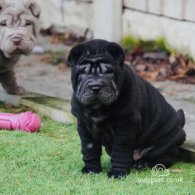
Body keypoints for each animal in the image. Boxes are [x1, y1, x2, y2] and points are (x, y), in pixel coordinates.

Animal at [68, 39, 186, 178]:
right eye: (83, 72)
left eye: (108, 72)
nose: (95, 87)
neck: (97, 108)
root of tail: (179, 125)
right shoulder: (84, 125)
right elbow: (89, 149)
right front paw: (91, 170)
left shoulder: (125, 125)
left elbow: (121, 151)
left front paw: (117, 173)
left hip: (163, 145)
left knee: (164, 159)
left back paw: (144, 164)